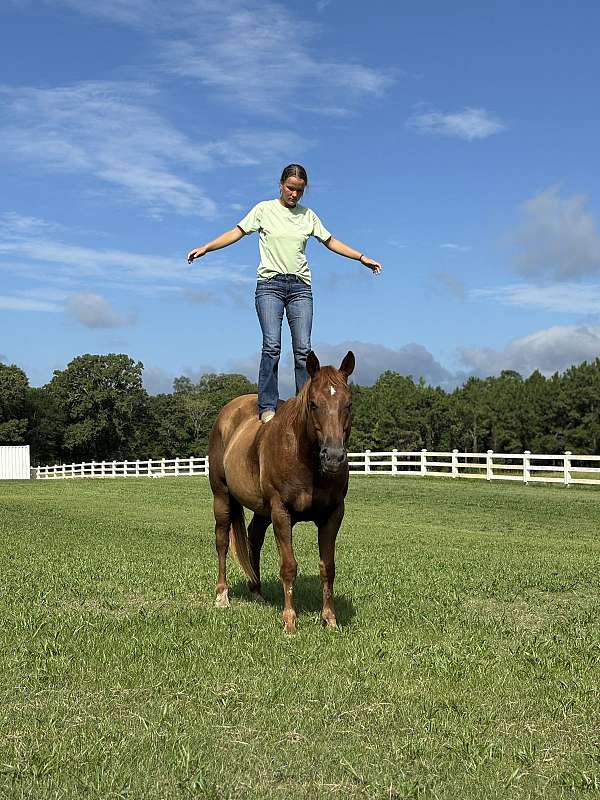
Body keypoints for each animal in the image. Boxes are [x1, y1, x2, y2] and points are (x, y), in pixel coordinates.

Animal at [208, 350, 355, 633]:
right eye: (313, 404)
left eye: (349, 404)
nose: (333, 457)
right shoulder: (281, 512)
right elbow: (288, 567)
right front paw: (289, 621)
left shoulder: (333, 515)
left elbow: (328, 568)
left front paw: (330, 619)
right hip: (222, 497)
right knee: (222, 541)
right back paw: (222, 595)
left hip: (262, 510)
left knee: (253, 539)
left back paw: (256, 590)